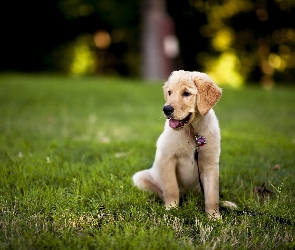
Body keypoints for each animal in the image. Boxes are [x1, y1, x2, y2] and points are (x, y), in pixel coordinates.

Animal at [133, 69, 223, 218]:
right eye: (170, 92)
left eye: (186, 93)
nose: (166, 109)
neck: (192, 132)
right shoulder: (167, 158)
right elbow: (171, 188)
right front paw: (171, 210)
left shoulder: (210, 164)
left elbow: (212, 195)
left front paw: (214, 217)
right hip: (139, 178)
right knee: (161, 192)